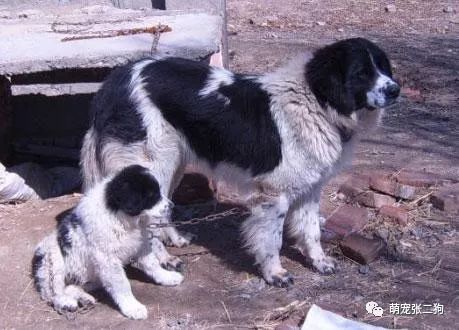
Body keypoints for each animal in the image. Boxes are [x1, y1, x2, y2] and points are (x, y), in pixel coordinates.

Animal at [79, 37, 398, 288]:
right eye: (361, 73)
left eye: (384, 68)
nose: (395, 89)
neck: (316, 102)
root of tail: (116, 80)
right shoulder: (274, 194)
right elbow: (272, 239)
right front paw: (275, 274)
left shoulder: (311, 188)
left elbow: (311, 230)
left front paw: (319, 262)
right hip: (154, 162)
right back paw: (164, 259)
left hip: (173, 163)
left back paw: (175, 241)